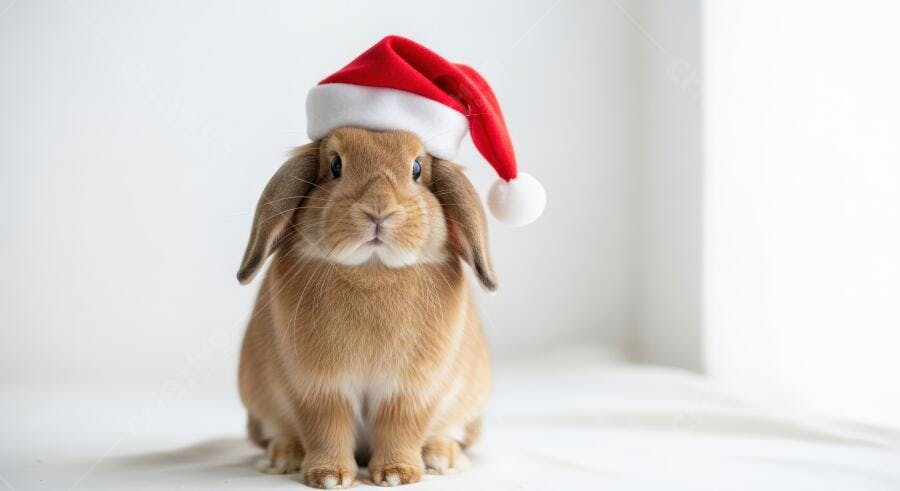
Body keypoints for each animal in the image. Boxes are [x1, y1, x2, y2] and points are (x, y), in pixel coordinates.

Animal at [236, 127, 495, 488]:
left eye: (417, 169)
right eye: (335, 166)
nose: (378, 211)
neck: (372, 269)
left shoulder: (409, 392)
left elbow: (400, 429)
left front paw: (396, 475)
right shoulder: (319, 390)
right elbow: (327, 430)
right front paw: (329, 477)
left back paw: (442, 458)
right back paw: (283, 457)